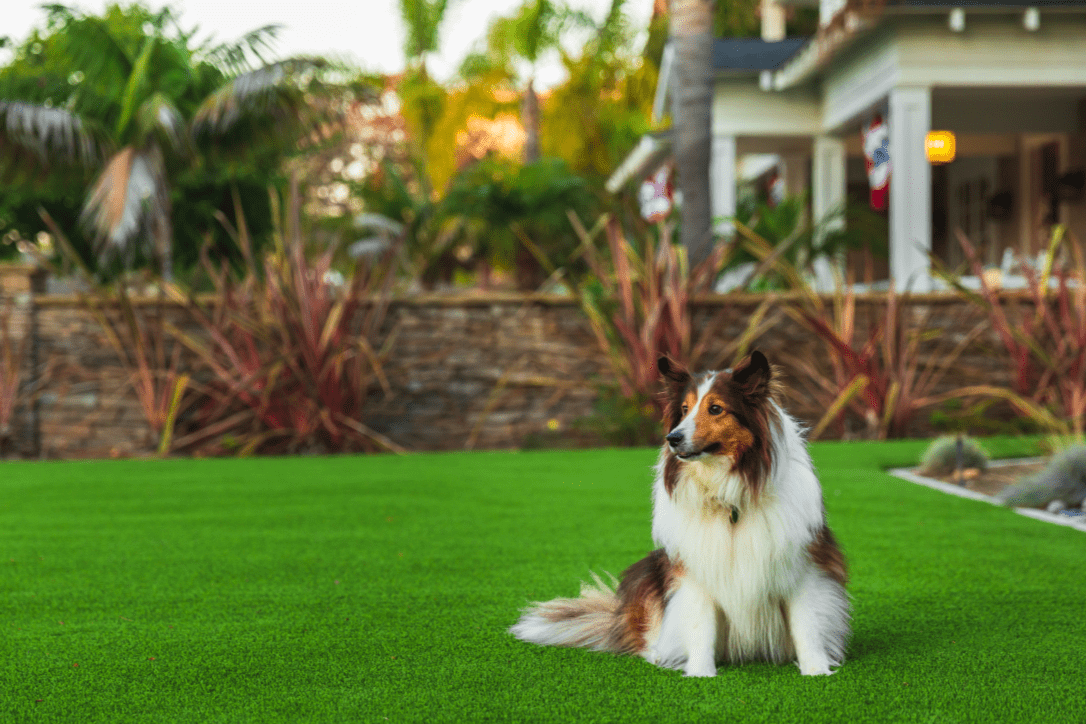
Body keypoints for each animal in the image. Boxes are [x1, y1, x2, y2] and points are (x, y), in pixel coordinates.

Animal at [508, 353, 847, 677]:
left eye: (716, 409)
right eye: (684, 409)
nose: (673, 438)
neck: (729, 493)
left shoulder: (803, 567)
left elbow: (807, 626)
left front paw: (816, 671)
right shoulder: (692, 570)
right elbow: (700, 626)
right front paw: (700, 674)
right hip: (649, 570)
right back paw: (658, 653)